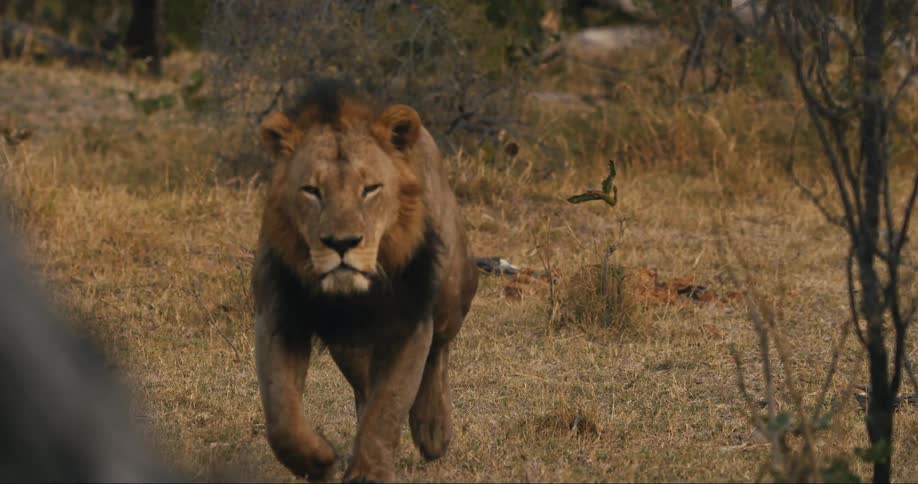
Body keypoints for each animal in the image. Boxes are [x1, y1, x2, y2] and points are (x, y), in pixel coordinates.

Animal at [251, 80, 478, 482]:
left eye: (370, 189)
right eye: (312, 190)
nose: (341, 243)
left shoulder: (409, 322)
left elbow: (388, 406)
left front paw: (370, 471)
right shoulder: (279, 317)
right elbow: (280, 415)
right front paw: (318, 461)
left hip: (452, 289)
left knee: (440, 349)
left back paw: (433, 428)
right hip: (348, 346)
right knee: (364, 385)